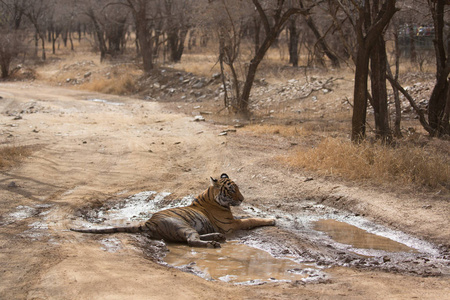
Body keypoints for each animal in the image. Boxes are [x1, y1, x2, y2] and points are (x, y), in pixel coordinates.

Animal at [70, 175, 274, 247]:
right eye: (232, 190)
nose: (242, 199)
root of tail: (148, 221)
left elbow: (246, 216)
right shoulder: (230, 224)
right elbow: (250, 219)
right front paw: (271, 219)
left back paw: (216, 237)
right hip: (181, 225)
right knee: (191, 240)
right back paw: (213, 243)